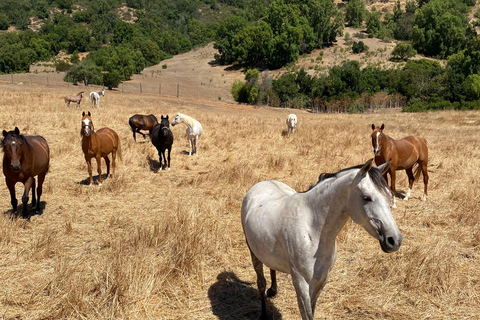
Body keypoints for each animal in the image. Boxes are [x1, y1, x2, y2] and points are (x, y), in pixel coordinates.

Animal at [240, 160, 402, 320]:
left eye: (389, 196)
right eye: (366, 197)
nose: (394, 240)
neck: (313, 229)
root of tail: (262, 183)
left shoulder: (321, 280)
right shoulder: (301, 283)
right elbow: (307, 314)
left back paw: (273, 291)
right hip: (253, 251)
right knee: (261, 282)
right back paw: (263, 313)